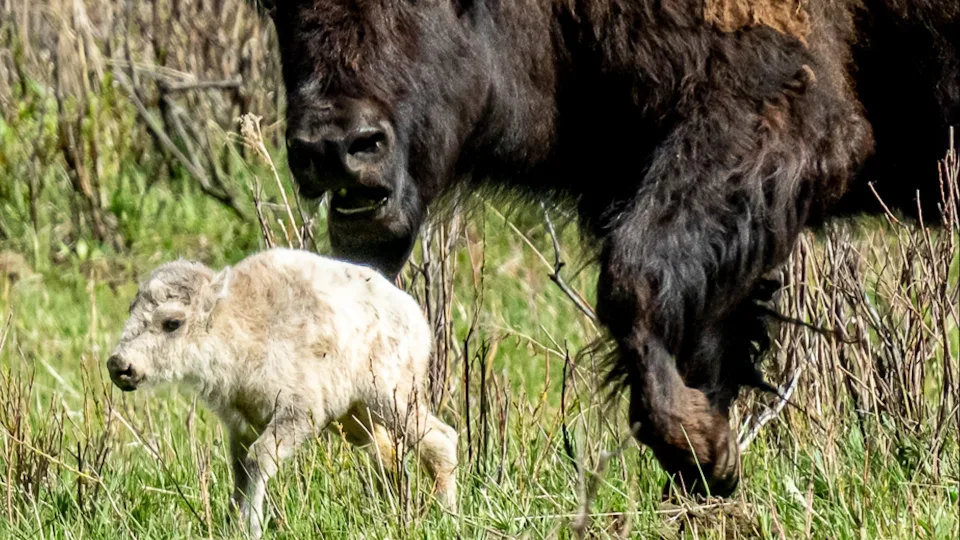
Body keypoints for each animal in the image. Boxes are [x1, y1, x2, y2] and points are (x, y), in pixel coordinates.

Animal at [107, 248, 460, 536]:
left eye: (172, 323)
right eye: (131, 309)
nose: (119, 365)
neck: (238, 322)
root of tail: (414, 314)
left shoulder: (298, 413)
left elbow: (257, 461)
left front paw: (251, 526)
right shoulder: (242, 425)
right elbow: (240, 471)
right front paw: (232, 523)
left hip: (392, 397)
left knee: (440, 440)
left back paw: (446, 515)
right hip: (356, 417)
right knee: (388, 456)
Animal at [258, 0, 956, 496]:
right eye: (275, 1)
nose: (335, 146)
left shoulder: (775, 114)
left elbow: (633, 279)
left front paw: (699, 448)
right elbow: (697, 331)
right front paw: (709, 462)